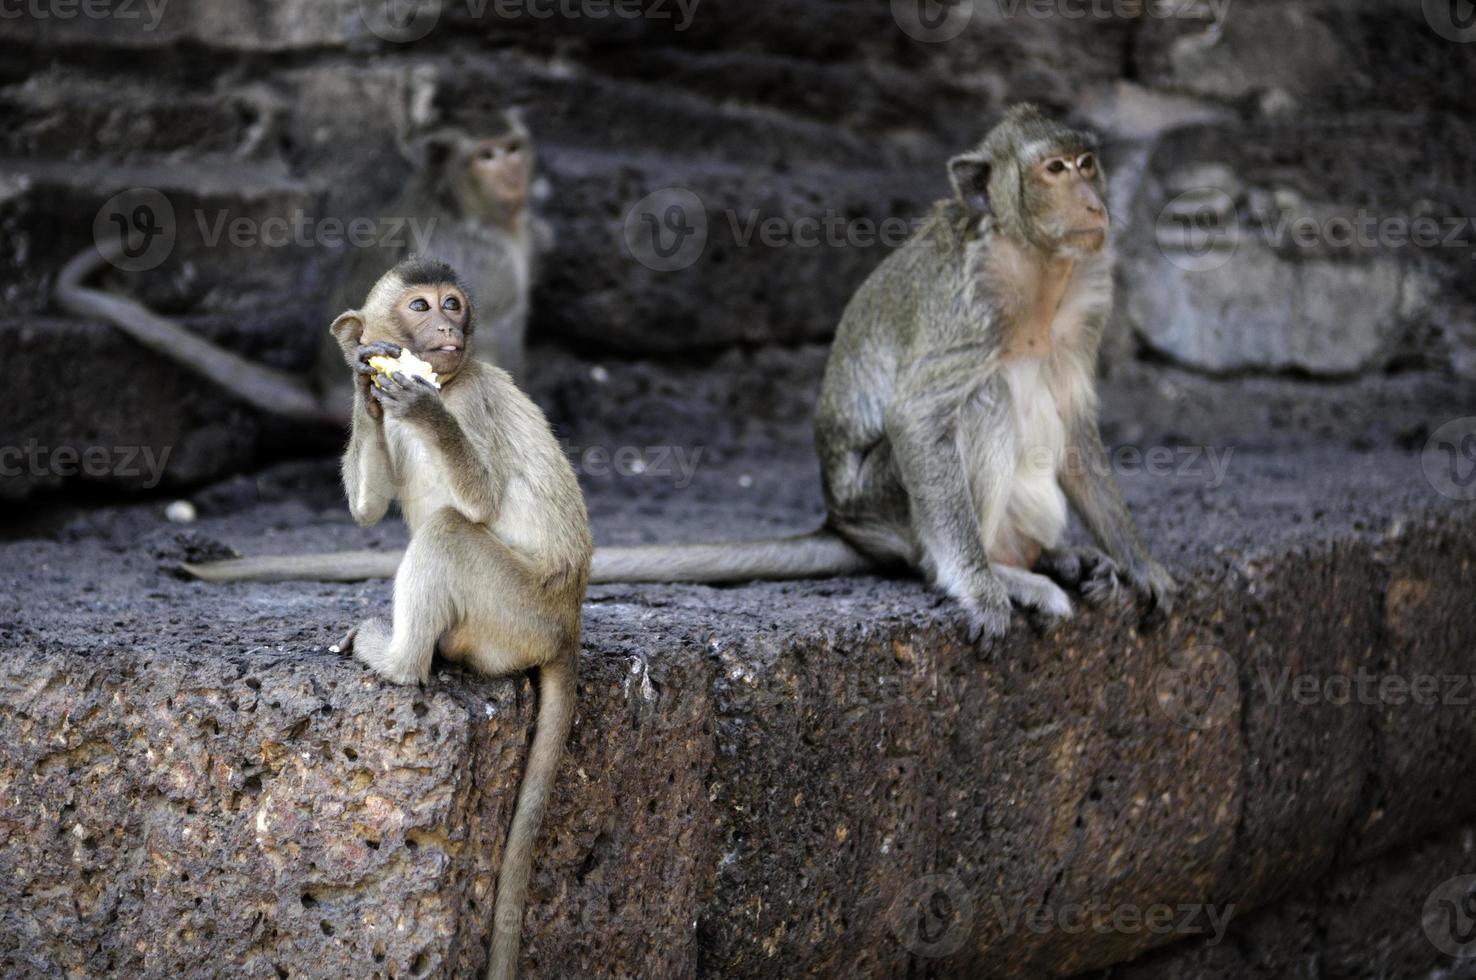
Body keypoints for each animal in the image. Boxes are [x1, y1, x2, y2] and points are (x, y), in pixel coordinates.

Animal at [52, 109, 552, 425]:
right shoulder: (482, 256)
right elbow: (486, 332)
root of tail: (320, 384)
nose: (511, 175)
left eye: (511, 148)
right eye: (486, 156)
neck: (466, 205)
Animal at [184, 107, 1174, 646]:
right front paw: (978, 587)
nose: (1094, 198)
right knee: (984, 403)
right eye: (1054, 169)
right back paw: (1004, 570)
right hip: (891, 507)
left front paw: (1138, 559)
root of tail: (843, 522)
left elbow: (1078, 423)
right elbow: (927, 414)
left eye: (1086, 162)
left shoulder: (1090, 291)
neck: (1038, 270)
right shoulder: (970, 302)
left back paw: (1055, 557)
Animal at [296, 258, 590, 980]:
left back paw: (398, 659)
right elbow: (369, 507)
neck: (453, 380)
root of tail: (568, 622)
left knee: (450, 533)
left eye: (452, 304)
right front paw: (364, 384)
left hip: (516, 611)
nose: (448, 329)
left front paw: (422, 407)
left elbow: (478, 502)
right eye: (421, 306)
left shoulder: (475, 399)